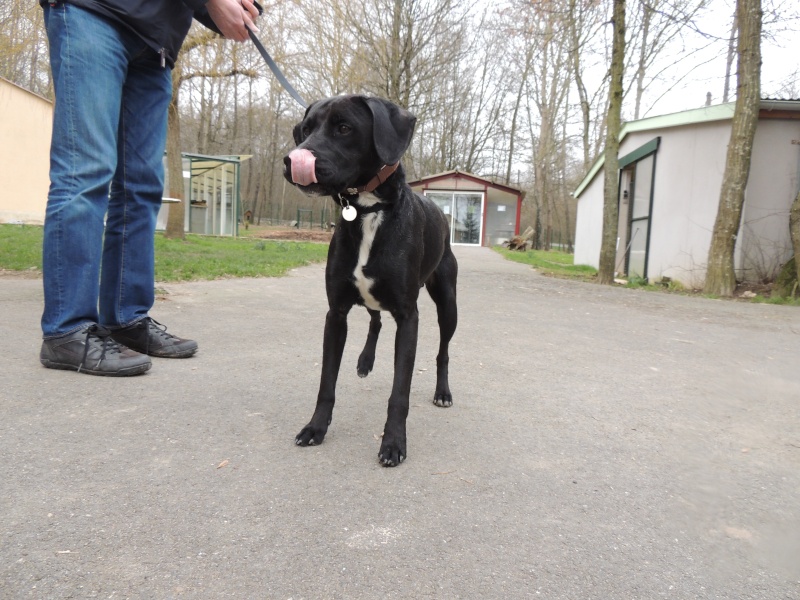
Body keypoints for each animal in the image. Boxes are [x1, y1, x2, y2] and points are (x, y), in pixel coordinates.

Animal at [282, 95, 456, 468]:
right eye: (306, 129)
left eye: (344, 127)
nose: (292, 160)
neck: (368, 211)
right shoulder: (336, 313)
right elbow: (326, 383)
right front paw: (315, 428)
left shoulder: (408, 317)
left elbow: (399, 392)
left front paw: (393, 443)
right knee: (375, 320)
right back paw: (365, 361)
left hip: (448, 304)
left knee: (443, 351)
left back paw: (443, 392)